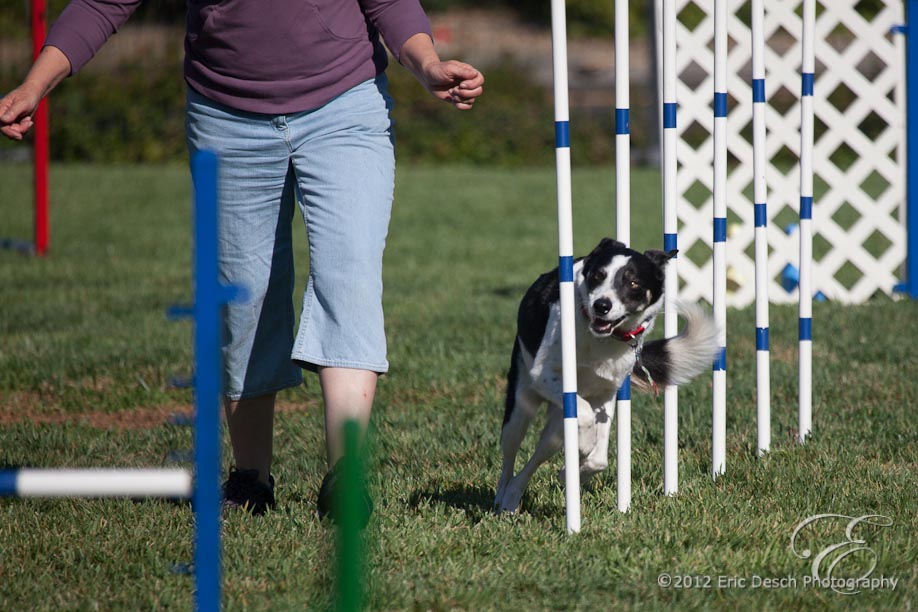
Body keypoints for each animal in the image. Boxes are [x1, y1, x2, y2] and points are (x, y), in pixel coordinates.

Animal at [496, 237, 720, 512]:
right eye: (598, 275)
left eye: (633, 283)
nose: (601, 306)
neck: (604, 339)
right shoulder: (545, 374)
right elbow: (584, 415)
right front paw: (583, 446)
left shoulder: (606, 392)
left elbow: (600, 457)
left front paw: (576, 471)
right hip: (521, 407)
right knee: (510, 456)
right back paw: (502, 496)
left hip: (557, 428)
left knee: (537, 457)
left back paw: (514, 494)